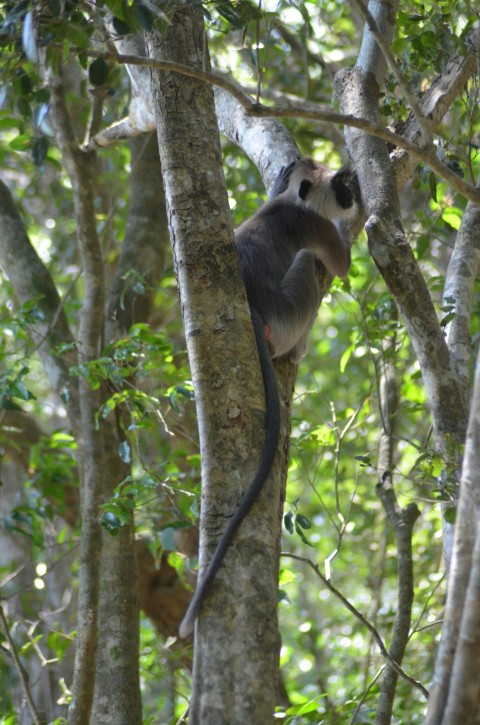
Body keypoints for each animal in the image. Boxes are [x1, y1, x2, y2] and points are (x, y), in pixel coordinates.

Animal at [178, 157, 356, 639]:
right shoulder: (315, 226)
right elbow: (342, 263)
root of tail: (254, 309)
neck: (287, 204)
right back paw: (296, 351)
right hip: (290, 312)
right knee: (308, 265)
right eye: (341, 187)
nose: (353, 193)